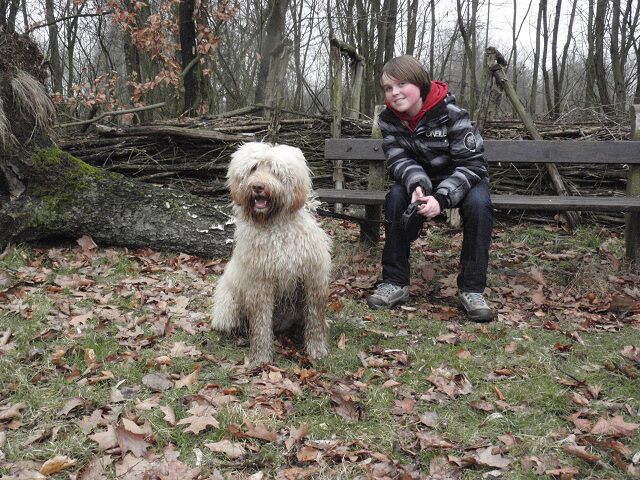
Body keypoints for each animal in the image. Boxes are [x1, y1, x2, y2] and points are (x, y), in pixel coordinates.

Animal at [211, 142, 332, 367]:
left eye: (275, 171)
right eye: (253, 168)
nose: (258, 186)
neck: (275, 226)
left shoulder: (313, 278)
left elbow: (314, 318)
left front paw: (317, 349)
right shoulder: (260, 284)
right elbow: (260, 324)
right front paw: (260, 357)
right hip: (228, 304)